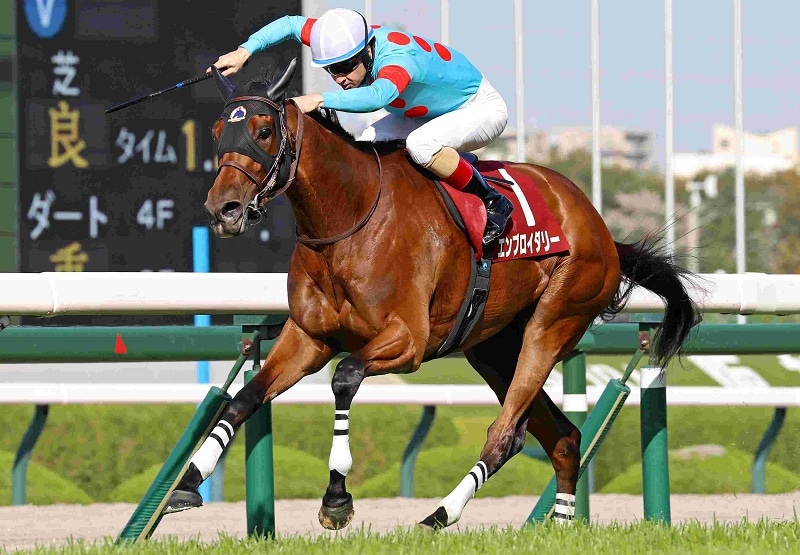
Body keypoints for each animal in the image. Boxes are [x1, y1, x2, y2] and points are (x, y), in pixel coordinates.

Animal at [167, 58, 699, 529]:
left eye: (262, 131)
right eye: (217, 132)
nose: (223, 209)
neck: (349, 218)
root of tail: (601, 229)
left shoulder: (408, 340)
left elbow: (345, 376)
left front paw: (337, 499)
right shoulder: (307, 339)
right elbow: (244, 398)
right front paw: (187, 483)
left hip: (552, 323)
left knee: (505, 433)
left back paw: (442, 513)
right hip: (493, 347)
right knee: (563, 436)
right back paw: (561, 525)